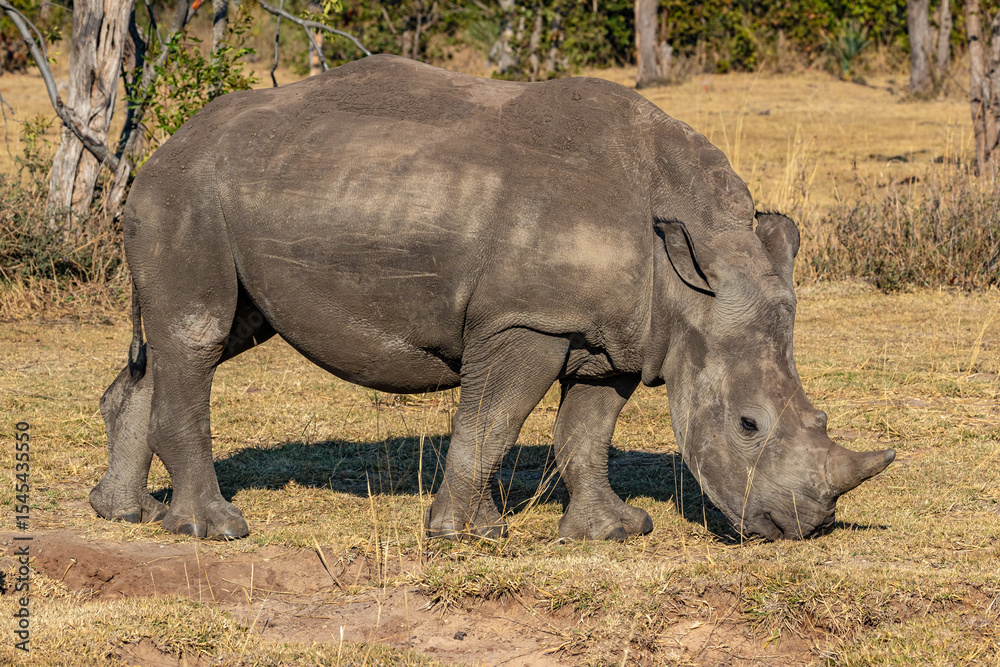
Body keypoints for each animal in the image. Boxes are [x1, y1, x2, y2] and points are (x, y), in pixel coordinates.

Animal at [90, 55, 894, 541]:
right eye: (749, 426)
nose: (801, 527)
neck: (688, 256)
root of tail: (163, 146)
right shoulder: (527, 320)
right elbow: (493, 418)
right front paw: (468, 535)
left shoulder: (618, 334)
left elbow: (586, 431)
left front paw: (613, 531)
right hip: (187, 192)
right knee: (196, 335)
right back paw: (216, 529)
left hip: (248, 190)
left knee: (202, 337)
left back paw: (125, 513)